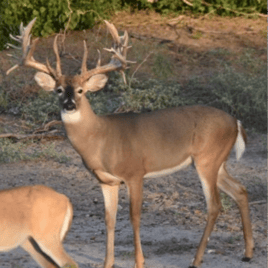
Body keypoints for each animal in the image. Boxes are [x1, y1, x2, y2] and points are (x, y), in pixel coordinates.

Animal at [5, 17, 253, 266]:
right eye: (58, 90)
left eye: (81, 90)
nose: (69, 105)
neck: (101, 139)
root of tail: (236, 122)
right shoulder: (106, 181)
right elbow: (109, 219)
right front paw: (107, 262)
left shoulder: (135, 172)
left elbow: (134, 217)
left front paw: (139, 261)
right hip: (215, 162)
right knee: (240, 190)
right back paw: (247, 253)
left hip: (206, 159)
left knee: (215, 205)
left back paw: (196, 259)